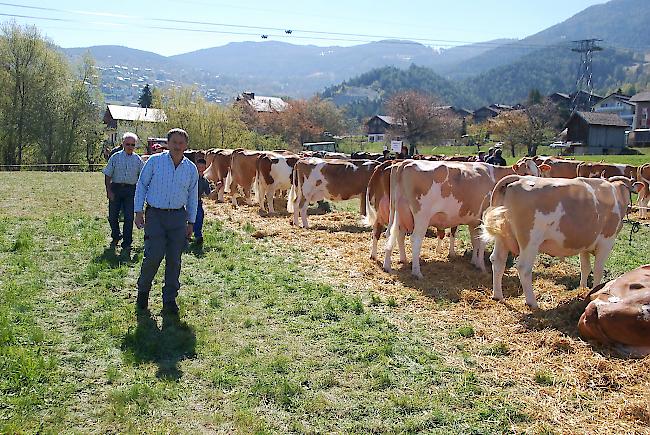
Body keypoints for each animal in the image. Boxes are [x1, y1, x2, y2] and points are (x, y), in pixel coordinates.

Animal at [380, 159, 536, 276]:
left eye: (538, 173)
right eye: (525, 173)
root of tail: (405, 162)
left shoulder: (473, 220)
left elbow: (475, 240)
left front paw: (474, 262)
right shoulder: (484, 218)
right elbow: (482, 242)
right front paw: (481, 266)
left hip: (398, 212)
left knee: (393, 234)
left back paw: (392, 264)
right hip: (421, 216)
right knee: (415, 239)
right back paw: (416, 272)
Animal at [480, 175, 636, 308]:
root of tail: (519, 178)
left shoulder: (585, 243)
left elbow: (585, 267)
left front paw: (583, 289)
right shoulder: (606, 241)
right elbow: (598, 270)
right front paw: (594, 291)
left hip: (501, 236)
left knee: (497, 261)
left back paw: (498, 296)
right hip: (530, 240)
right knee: (523, 268)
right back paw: (532, 302)